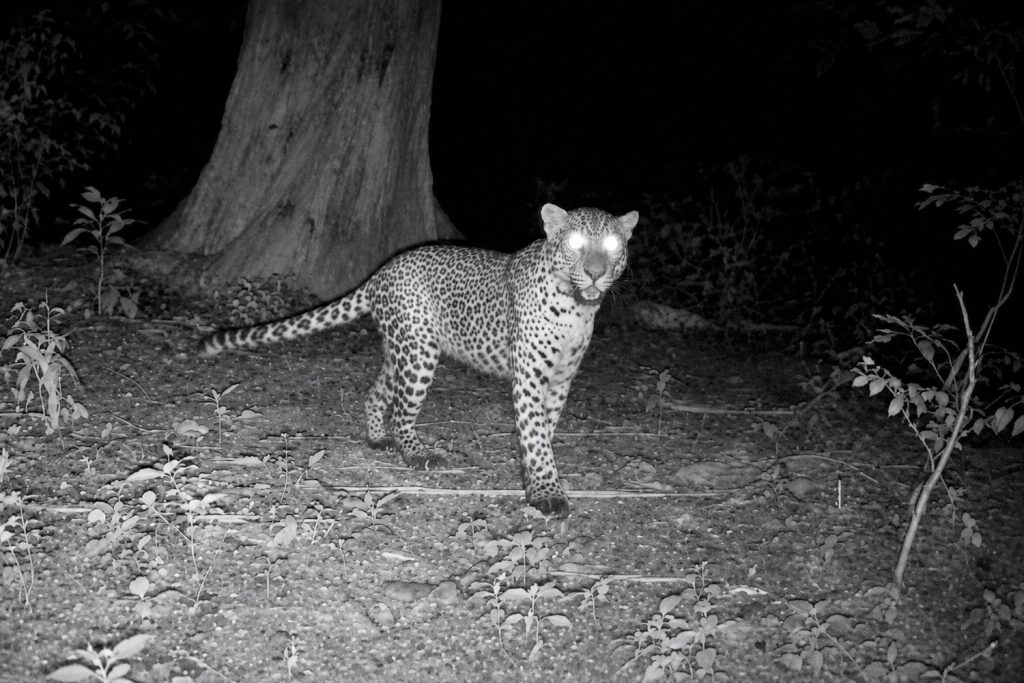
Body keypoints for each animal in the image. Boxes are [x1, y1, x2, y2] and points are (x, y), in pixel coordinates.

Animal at [200, 203, 639, 517]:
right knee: (400, 411)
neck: (576, 309)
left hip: (404, 348)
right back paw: (417, 453)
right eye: (576, 243)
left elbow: (544, 432)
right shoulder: (530, 377)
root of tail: (381, 273)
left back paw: (377, 438)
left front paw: (534, 481)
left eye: (613, 245)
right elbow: (534, 435)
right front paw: (547, 494)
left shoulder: (562, 378)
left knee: (378, 392)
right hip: (419, 353)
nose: (596, 273)